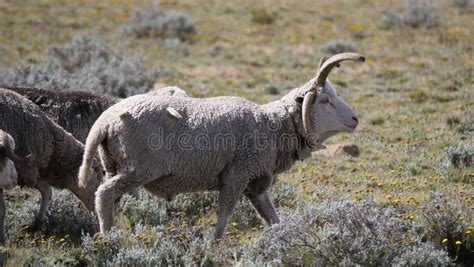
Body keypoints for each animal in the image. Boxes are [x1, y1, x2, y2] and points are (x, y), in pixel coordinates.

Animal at [0, 89, 103, 244]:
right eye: (97, 172)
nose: (99, 209)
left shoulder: (27, 168)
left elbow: (47, 191)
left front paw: (37, 223)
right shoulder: (25, 167)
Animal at [79, 51, 364, 239]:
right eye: (325, 100)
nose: (355, 119)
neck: (272, 125)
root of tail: (105, 121)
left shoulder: (255, 183)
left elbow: (272, 218)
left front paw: (285, 238)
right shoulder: (236, 175)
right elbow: (224, 216)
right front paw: (214, 244)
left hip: (113, 165)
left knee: (107, 198)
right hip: (137, 169)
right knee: (104, 195)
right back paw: (110, 239)